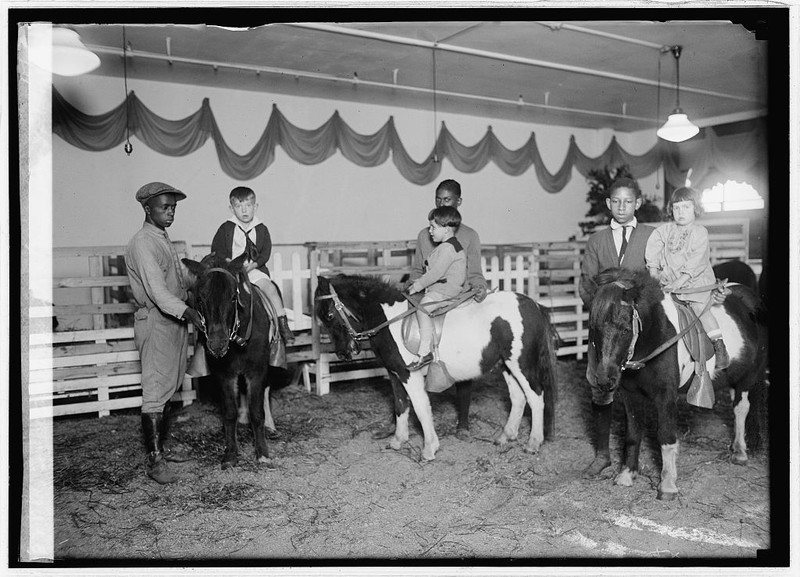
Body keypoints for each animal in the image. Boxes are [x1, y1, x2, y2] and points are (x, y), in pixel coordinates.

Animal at [182, 253, 278, 468]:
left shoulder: (257, 370)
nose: (217, 344)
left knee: (266, 392)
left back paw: (270, 426)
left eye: (234, 296)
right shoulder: (225, 374)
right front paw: (231, 453)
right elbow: (229, 412)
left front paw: (262, 453)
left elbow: (257, 411)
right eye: (200, 298)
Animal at [312, 274, 556, 460]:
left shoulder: (409, 375)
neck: (391, 319)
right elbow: (400, 406)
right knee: (518, 398)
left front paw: (429, 449)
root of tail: (535, 305)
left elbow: (421, 408)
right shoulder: (395, 374)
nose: (343, 353)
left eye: (329, 314)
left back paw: (533, 443)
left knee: (536, 397)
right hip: (506, 365)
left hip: (522, 364)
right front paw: (398, 441)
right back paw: (506, 437)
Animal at [588, 268, 768, 498]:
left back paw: (739, 452)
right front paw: (626, 475)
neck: (655, 337)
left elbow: (665, 436)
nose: (604, 379)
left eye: (625, 329)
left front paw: (667, 485)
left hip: (748, 377)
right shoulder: (631, 394)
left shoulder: (666, 395)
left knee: (741, 409)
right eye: (594, 327)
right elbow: (632, 434)